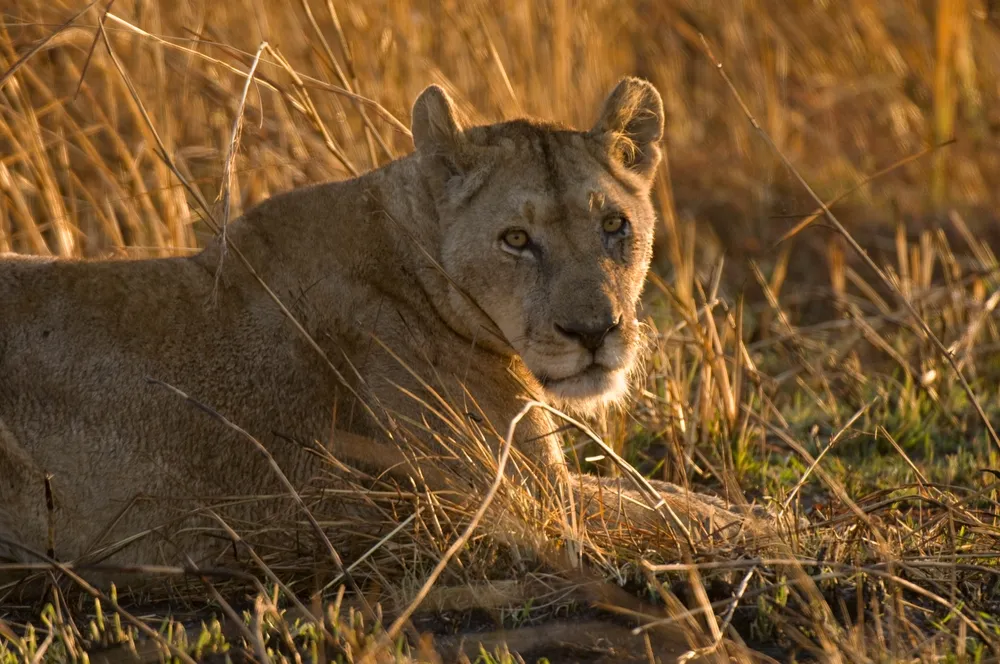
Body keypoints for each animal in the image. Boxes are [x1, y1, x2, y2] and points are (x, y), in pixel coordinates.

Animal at [0, 78, 769, 580]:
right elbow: (671, 510)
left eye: (614, 225)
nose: (594, 331)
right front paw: (778, 530)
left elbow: (670, 500)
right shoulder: (507, 500)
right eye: (516, 240)